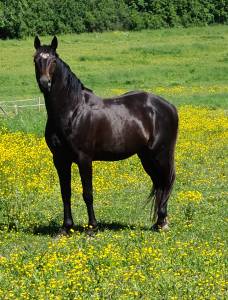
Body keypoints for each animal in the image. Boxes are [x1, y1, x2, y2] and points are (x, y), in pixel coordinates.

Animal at [33, 35, 178, 234]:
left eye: (53, 60)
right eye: (36, 59)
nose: (44, 83)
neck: (72, 110)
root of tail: (168, 106)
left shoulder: (84, 159)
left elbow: (88, 193)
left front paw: (92, 228)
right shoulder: (60, 160)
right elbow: (65, 193)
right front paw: (66, 228)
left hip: (160, 154)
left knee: (165, 181)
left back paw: (162, 223)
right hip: (146, 156)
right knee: (159, 183)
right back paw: (159, 223)